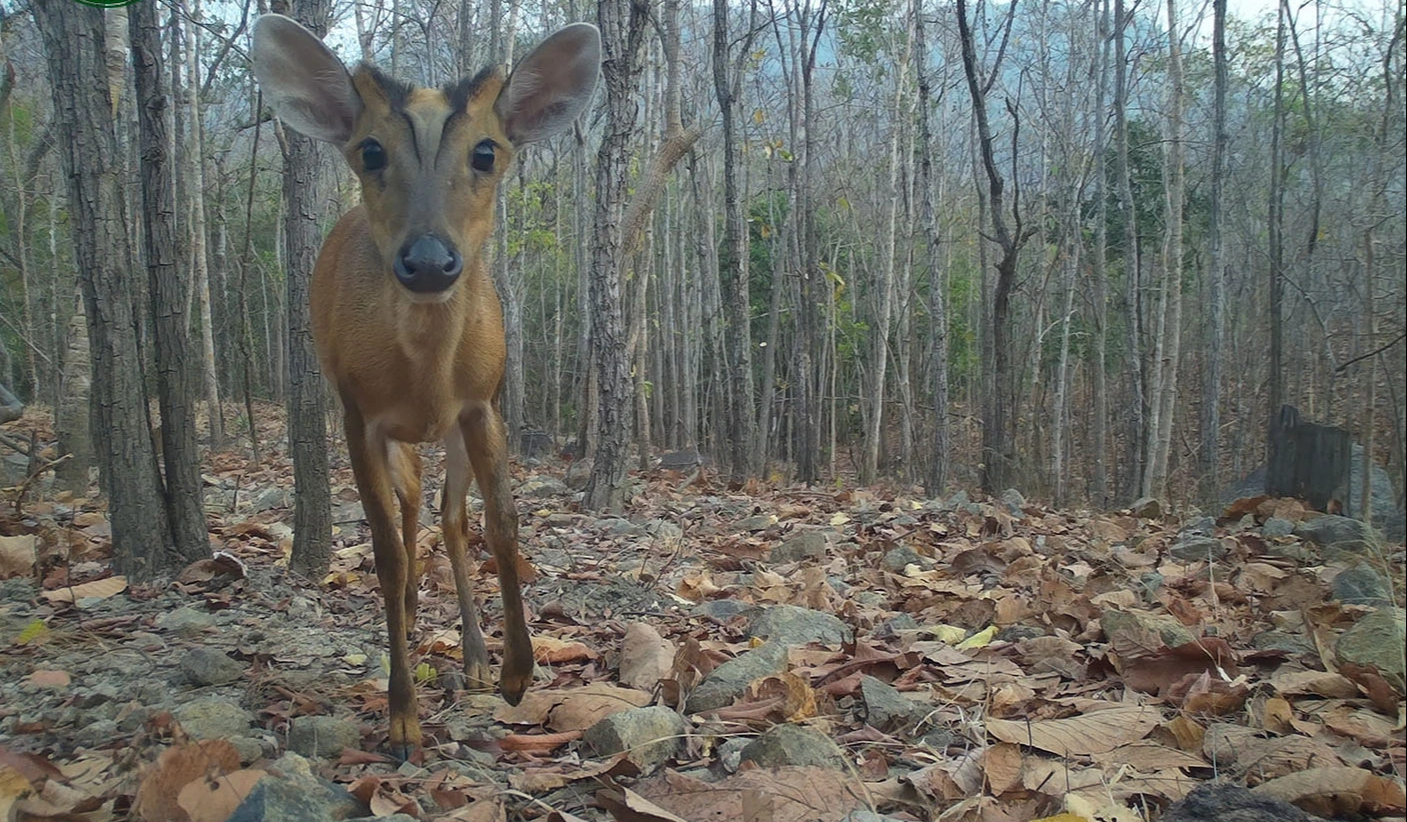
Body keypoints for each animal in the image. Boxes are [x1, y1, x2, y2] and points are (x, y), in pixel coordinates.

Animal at [250, 14, 602, 760]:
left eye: (487, 153)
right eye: (370, 151)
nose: (430, 261)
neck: (426, 377)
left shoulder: (483, 404)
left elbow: (502, 524)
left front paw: (516, 672)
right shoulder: (357, 414)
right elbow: (382, 551)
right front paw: (402, 717)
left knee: (446, 516)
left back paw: (473, 656)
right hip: (392, 438)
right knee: (410, 517)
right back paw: (413, 616)